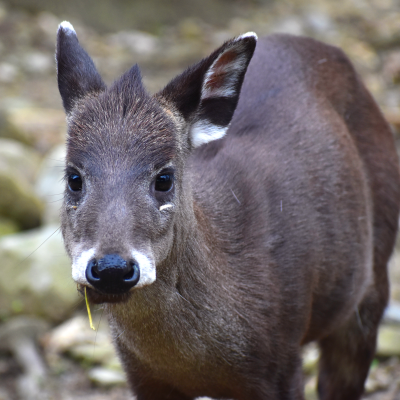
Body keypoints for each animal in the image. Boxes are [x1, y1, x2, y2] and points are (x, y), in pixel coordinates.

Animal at [55, 21, 400, 400]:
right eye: (73, 177)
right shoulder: (142, 375)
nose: (112, 269)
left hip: (371, 283)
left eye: (164, 178)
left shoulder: (282, 362)